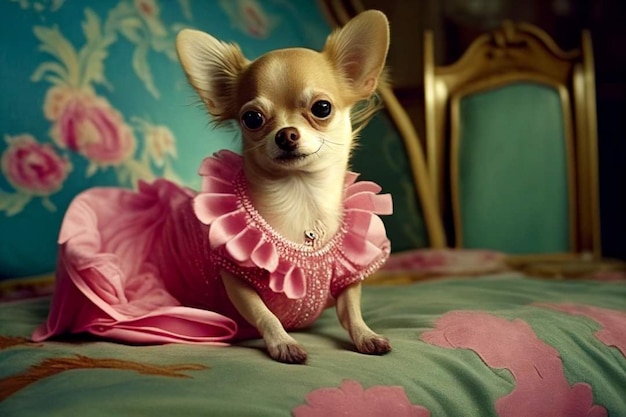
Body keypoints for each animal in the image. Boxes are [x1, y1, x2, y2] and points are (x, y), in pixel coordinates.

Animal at [176, 8, 388, 360]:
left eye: (322, 108)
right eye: (252, 119)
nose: (286, 134)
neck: (301, 197)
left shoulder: (349, 276)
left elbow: (351, 311)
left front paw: (365, 335)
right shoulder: (235, 277)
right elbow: (265, 313)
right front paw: (283, 342)